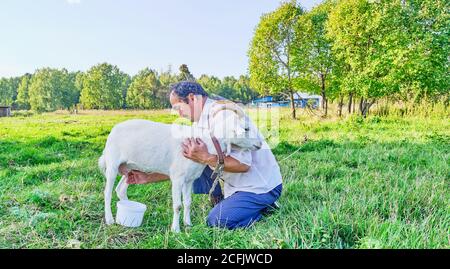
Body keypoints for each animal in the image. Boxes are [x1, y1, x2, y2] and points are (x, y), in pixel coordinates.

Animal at [97, 108, 260, 231]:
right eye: (246, 128)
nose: (259, 144)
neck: (208, 142)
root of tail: (113, 130)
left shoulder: (189, 179)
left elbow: (187, 202)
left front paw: (188, 224)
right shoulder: (177, 177)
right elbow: (178, 205)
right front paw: (175, 229)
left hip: (129, 168)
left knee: (120, 189)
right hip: (112, 163)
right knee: (107, 193)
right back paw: (110, 219)